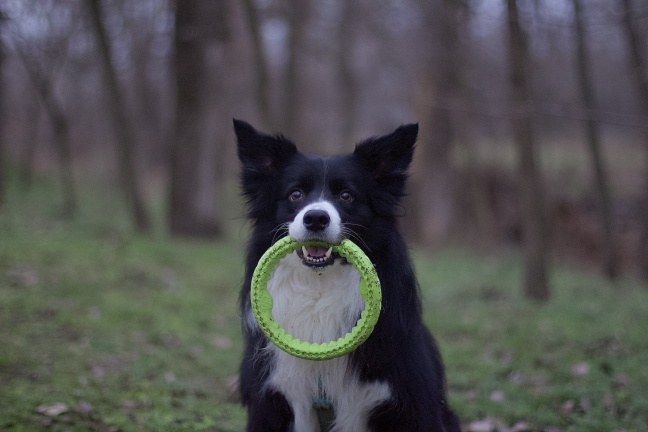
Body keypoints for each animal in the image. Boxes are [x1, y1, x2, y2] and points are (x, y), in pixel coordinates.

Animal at [235, 119, 458, 432]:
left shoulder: (409, 406)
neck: (320, 288)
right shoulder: (275, 399)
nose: (316, 218)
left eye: (346, 196)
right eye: (295, 194)